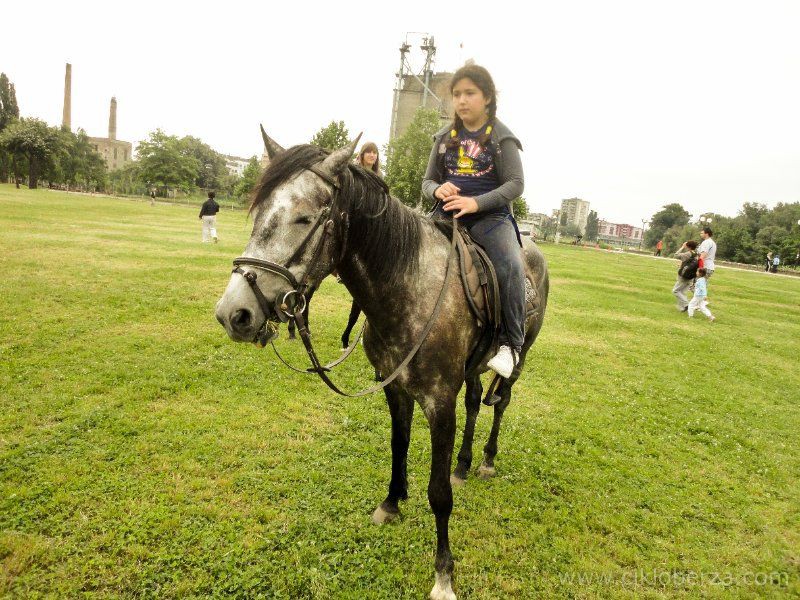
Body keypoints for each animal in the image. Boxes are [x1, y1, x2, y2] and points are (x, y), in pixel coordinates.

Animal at [216, 134, 548, 596]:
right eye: (258, 213)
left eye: (303, 218)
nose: (234, 313)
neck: (408, 285)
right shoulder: (395, 387)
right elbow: (398, 445)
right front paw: (391, 503)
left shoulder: (439, 401)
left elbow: (438, 493)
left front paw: (443, 574)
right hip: (471, 370)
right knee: (476, 402)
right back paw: (464, 463)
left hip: (518, 358)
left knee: (500, 403)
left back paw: (485, 460)